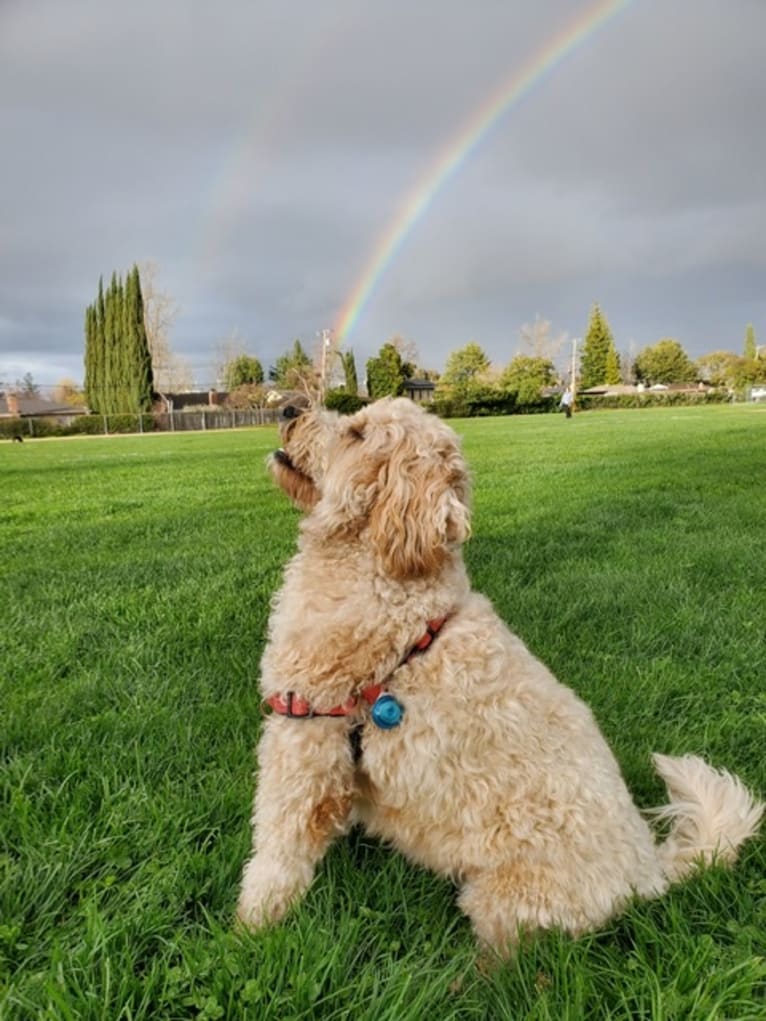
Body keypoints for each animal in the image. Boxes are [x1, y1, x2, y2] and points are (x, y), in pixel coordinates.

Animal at [236, 396, 763, 947]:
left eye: (357, 433)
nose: (288, 406)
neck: (384, 575)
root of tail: (649, 872)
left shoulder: (307, 734)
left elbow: (278, 848)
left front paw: (251, 925)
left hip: (511, 902)